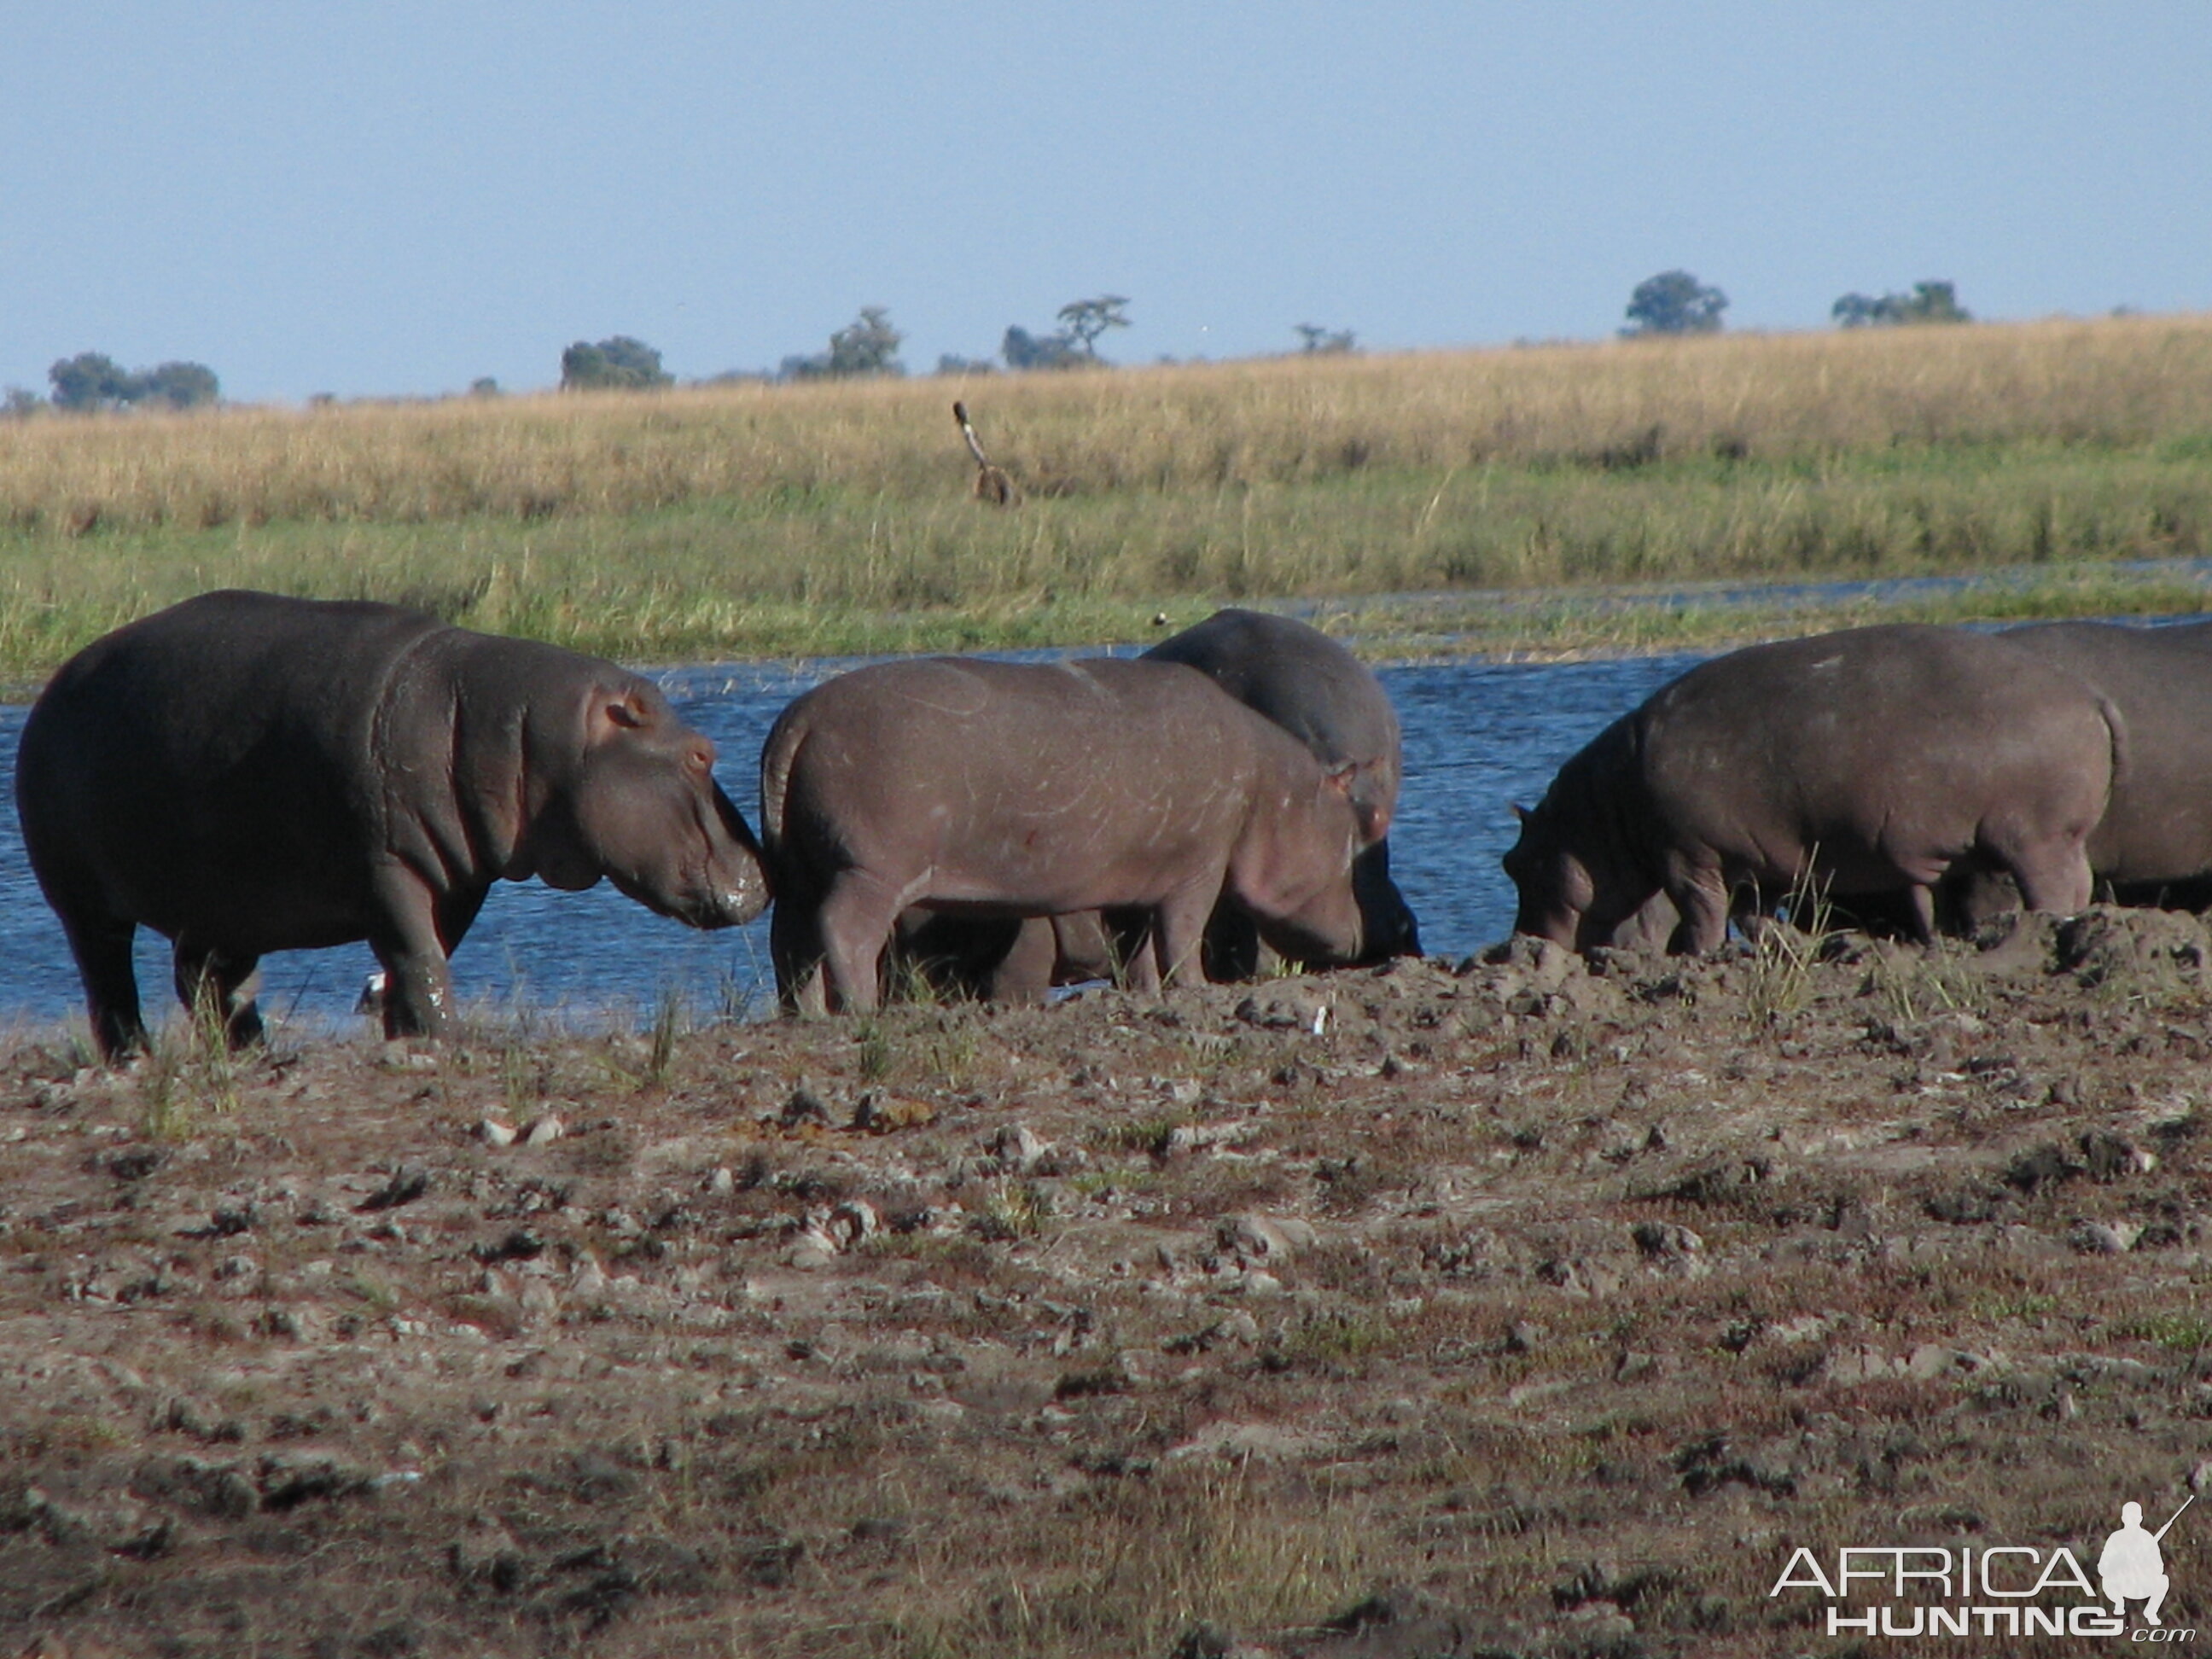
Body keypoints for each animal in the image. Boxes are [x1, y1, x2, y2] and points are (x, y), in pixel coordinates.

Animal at [17, 592, 774, 1057]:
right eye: (701, 752)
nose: (765, 872)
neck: (522, 730)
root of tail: (52, 687)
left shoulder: (460, 876)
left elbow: (421, 956)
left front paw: (409, 1035)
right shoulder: (385, 864)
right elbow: (417, 953)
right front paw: (440, 1037)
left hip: (222, 906)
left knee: (207, 979)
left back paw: (252, 1051)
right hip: (83, 900)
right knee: (109, 978)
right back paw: (134, 1056)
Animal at [756, 655, 1362, 1022]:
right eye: (1350, 844)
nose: (1360, 933)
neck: (1274, 788)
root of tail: (799, 719)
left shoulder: (1143, 875)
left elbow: (1140, 947)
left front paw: (1146, 993)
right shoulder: (1199, 867)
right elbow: (1182, 933)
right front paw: (1196, 989)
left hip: (800, 868)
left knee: (791, 939)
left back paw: (806, 1014)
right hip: (871, 870)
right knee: (845, 929)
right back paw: (863, 1010)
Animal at [1504, 623, 2105, 955]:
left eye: (1514, 864)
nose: (1517, 948)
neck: (1601, 811)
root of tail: (2087, 696)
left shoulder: (1687, 855)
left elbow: (1702, 911)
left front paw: (1698, 957)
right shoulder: (1755, 860)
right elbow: (1752, 915)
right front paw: (1790, 946)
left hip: (2035, 837)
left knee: (2052, 887)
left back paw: (2044, 927)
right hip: (2056, 838)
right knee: (2079, 883)